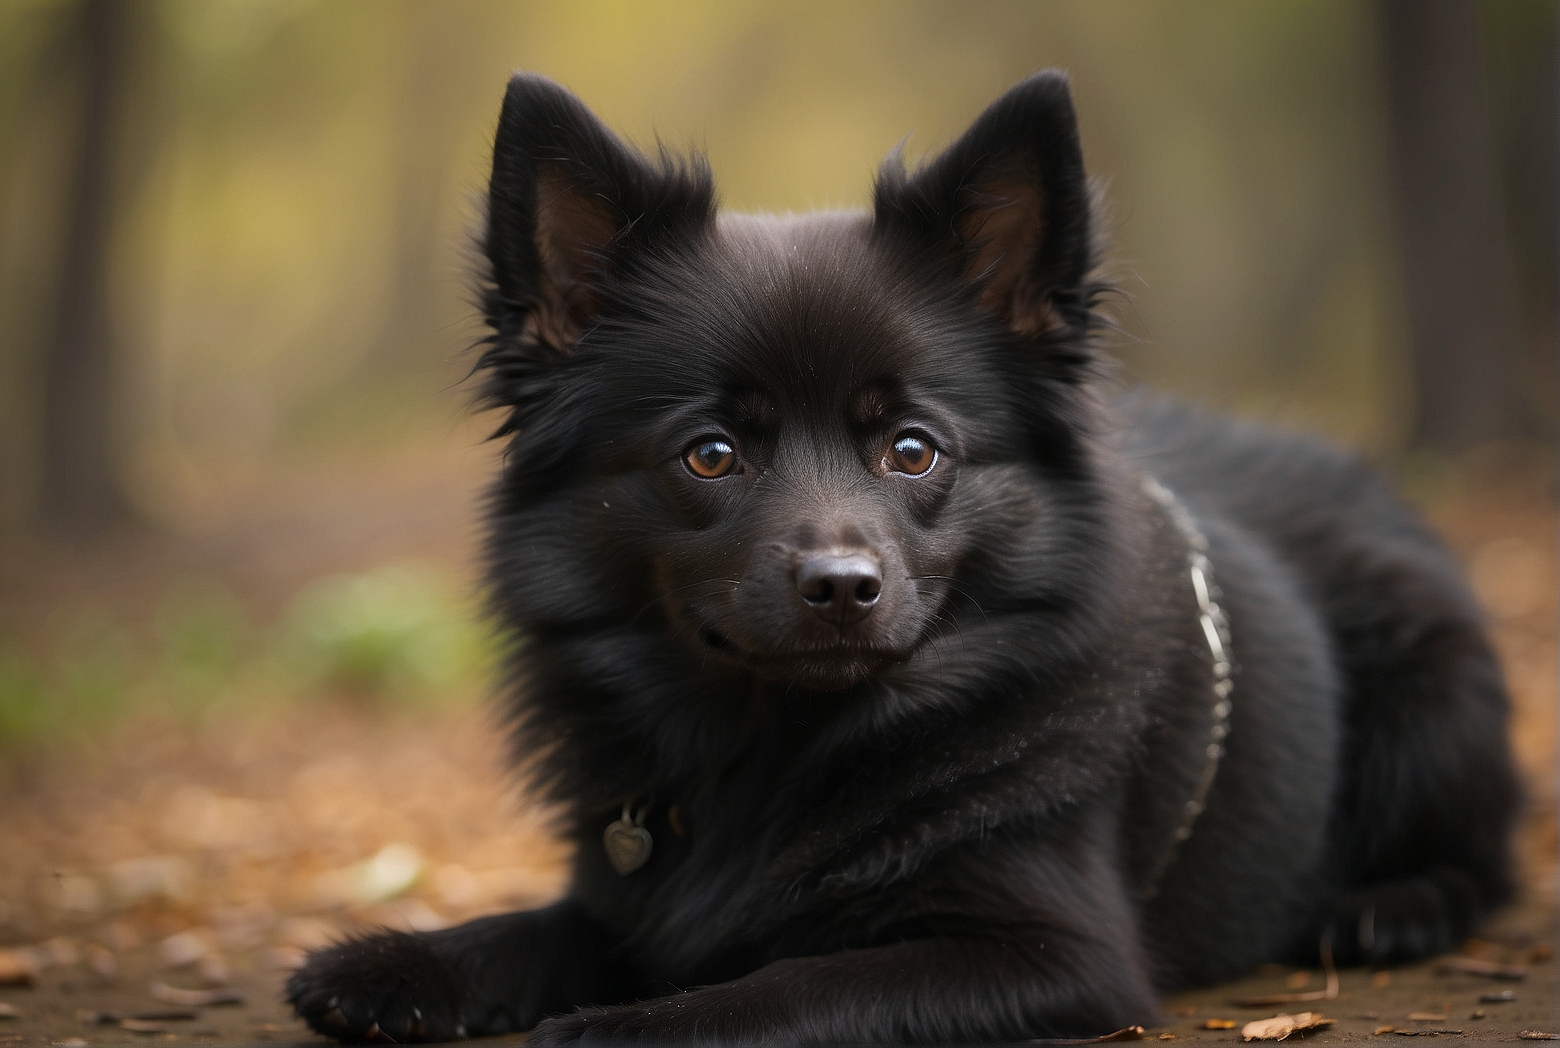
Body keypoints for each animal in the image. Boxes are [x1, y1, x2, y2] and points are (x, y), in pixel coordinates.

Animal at [287, 71, 1516, 1041]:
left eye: (912, 448)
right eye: (711, 453)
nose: (842, 588)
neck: (779, 750)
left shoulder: (1055, 957)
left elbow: (785, 988)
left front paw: (625, 1027)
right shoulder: (634, 898)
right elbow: (547, 930)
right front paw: (408, 961)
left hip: (1431, 688)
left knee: (1489, 856)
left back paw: (1392, 906)